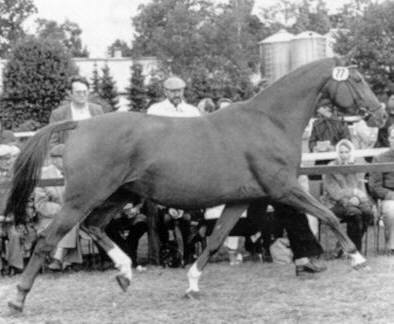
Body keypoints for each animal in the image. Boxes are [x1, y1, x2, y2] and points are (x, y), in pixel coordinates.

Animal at [5, 56, 388, 312]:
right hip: (82, 197)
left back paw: (125, 274)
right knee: (48, 239)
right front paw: (357, 259)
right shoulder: (284, 188)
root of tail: (80, 125)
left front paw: (191, 284)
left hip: (116, 195)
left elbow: (216, 239)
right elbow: (329, 215)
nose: (381, 114)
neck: (269, 122)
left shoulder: (241, 200)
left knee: (94, 227)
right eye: (356, 80)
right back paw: (19, 299)